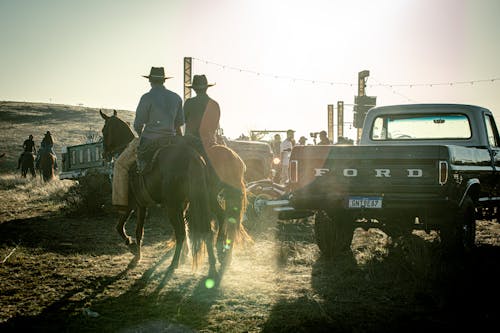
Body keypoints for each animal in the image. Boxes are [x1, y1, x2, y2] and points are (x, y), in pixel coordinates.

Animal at [100, 110, 249, 276]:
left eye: (104, 130)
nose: (104, 154)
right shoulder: (148, 205)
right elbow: (139, 230)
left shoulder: (133, 204)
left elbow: (122, 227)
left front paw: (133, 249)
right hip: (205, 198)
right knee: (218, 220)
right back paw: (217, 255)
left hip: (178, 203)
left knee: (185, 231)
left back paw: (177, 263)